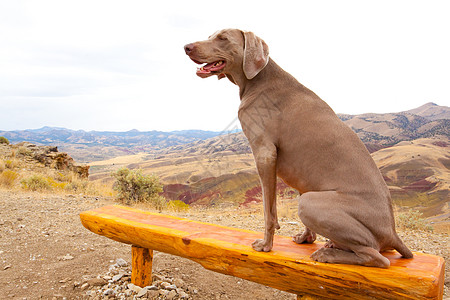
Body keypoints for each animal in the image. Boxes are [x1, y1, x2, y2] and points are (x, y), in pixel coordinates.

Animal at [185, 28, 414, 268]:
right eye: (210, 36)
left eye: (223, 38)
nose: (186, 47)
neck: (257, 80)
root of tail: (393, 232)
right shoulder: (299, 171)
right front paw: (306, 238)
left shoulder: (265, 153)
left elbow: (268, 211)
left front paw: (266, 245)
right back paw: (332, 245)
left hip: (311, 203)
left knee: (377, 257)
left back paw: (328, 254)